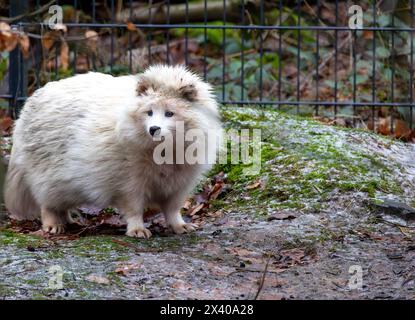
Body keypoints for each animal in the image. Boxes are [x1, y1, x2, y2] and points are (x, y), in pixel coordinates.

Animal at [4, 64, 224, 238]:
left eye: (170, 113)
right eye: (149, 112)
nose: (154, 129)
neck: (163, 151)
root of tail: (27, 106)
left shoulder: (179, 182)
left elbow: (172, 208)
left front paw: (179, 225)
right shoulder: (127, 181)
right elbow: (134, 208)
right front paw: (137, 229)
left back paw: (69, 221)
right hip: (46, 174)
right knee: (47, 203)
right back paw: (52, 224)